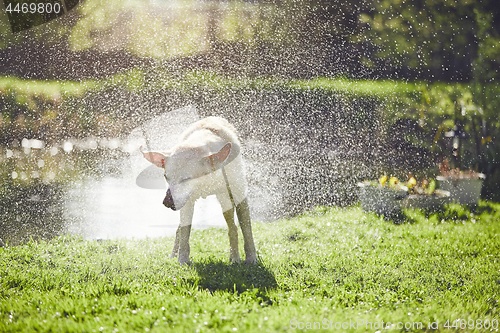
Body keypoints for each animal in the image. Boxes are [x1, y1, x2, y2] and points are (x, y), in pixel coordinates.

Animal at [142, 116, 256, 264]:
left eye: (186, 179)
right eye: (166, 177)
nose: (167, 202)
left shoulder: (239, 193)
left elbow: (246, 229)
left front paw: (251, 259)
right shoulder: (187, 201)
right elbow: (184, 232)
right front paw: (182, 260)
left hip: (225, 198)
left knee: (233, 227)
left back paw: (235, 258)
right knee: (180, 229)